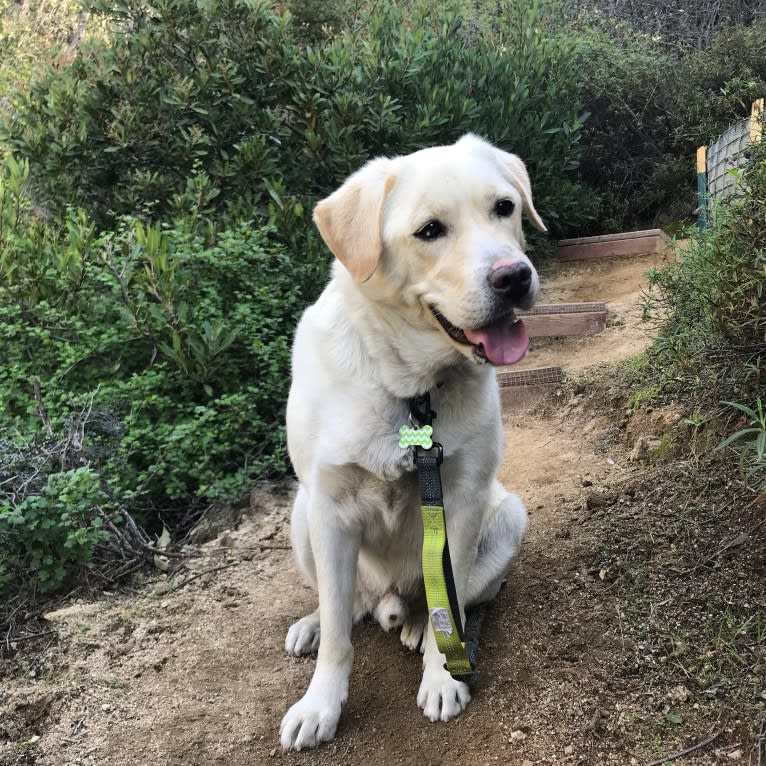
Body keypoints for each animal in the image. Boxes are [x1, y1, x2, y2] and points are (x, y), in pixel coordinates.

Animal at [280, 135, 544, 752]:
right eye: (429, 231)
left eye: (504, 207)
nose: (514, 277)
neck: (409, 390)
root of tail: (392, 600)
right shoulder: (328, 508)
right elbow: (337, 635)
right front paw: (320, 705)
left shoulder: (462, 499)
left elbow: (453, 600)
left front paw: (443, 676)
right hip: (301, 515)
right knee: (347, 606)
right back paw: (318, 622)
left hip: (508, 516)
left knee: (453, 601)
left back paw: (424, 629)